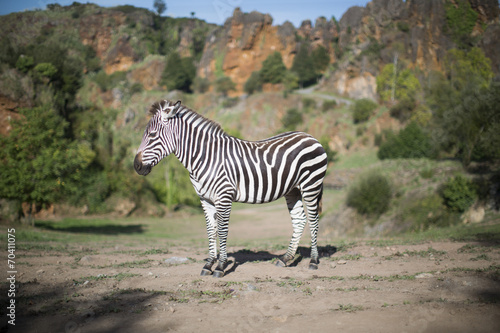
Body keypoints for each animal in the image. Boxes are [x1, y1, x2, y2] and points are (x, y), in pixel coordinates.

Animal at [135, 100, 328, 276]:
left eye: (152, 135)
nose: (136, 166)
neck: (205, 157)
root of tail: (310, 137)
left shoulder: (224, 196)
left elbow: (222, 230)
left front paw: (220, 266)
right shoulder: (205, 199)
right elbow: (211, 230)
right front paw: (208, 265)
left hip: (311, 185)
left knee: (313, 220)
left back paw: (313, 261)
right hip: (292, 190)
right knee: (299, 220)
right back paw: (286, 259)